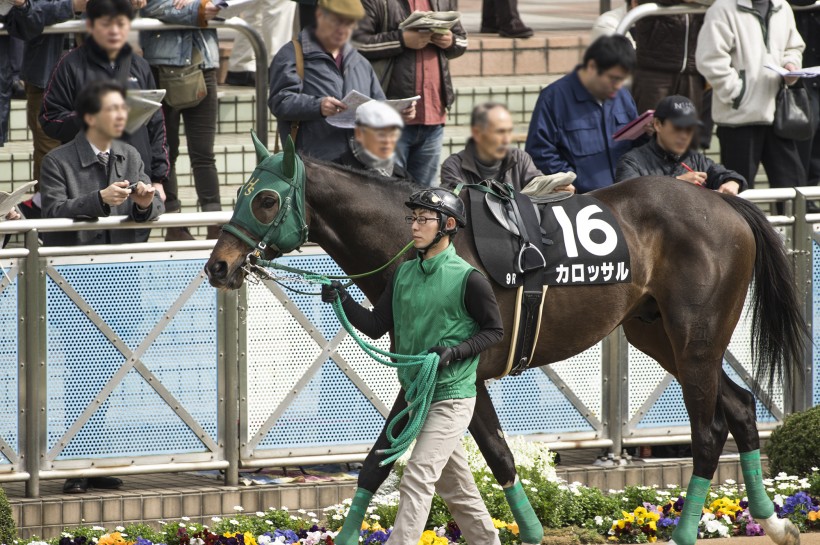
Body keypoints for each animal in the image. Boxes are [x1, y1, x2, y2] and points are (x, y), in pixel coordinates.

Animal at [205, 137, 808, 544]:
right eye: (240, 193)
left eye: (264, 200)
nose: (218, 266)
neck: (424, 246)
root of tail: (724, 203)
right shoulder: (432, 371)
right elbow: (457, 457)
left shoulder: (454, 367)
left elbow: (413, 457)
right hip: (656, 333)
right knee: (741, 406)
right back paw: (774, 522)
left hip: (696, 338)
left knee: (709, 431)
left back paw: (688, 530)